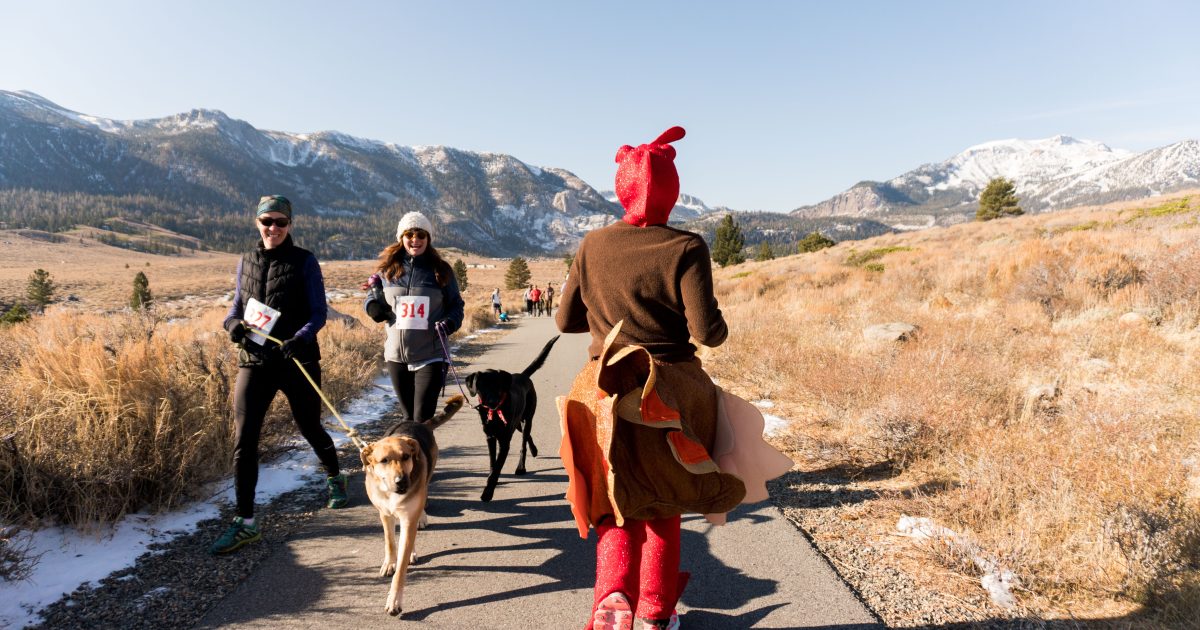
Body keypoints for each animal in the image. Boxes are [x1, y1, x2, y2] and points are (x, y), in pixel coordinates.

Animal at [360, 393, 463, 614]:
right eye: (383, 460)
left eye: (406, 456)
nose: (402, 482)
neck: (390, 491)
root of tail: (420, 424)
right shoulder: (385, 514)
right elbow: (390, 542)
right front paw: (390, 562)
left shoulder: (408, 516)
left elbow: (401, 568)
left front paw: (394, 600)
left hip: (426, 480)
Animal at [468, 333, 561, 501]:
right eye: (481, 387)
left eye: (498, 386)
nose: (492, 402)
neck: (494, 414)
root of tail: (523, 375)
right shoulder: (490, 437)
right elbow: (493, 463)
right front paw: (491, 479)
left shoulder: (504, 441)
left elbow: (498, 466)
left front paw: (488, 492)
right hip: (517, 422)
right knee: (526, 433)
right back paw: (534, 450)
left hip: (528, 418)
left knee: (523, 442)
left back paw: (521, 467)